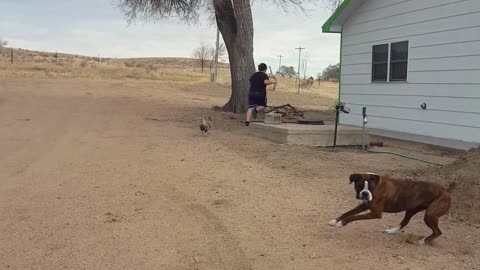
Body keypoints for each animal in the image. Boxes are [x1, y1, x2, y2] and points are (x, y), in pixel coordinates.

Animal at [328, 173, 456, 245]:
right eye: (359, 186)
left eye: (371, 187)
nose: (364, 193)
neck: (377, 185)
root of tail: (447, 190)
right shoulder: (365, 205)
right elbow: (349, 212)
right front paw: (335, 220)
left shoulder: (375, 213)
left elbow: (353, 217)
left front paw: (342, 223)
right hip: (411, 210)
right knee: (405, 222)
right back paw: (392, 231)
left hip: (429, 215)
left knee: (438, 232)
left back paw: (422, 241)